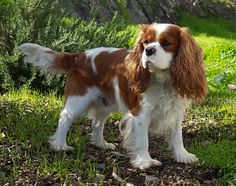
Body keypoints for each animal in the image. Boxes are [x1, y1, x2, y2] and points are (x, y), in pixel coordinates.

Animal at [18, 22, 208, 169]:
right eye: (145, 43)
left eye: (166, 43)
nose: (148, 51)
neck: (163, 81)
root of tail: (79, 56)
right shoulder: (141, 115)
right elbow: (143, 140)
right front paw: (145, 162)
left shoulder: (175, 113)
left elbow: (177, 137)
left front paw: (183, 156)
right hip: (78, 100)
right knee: (65, 118)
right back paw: (60, 145)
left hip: (105, 103)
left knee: (96, 123)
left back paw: (100, 144)